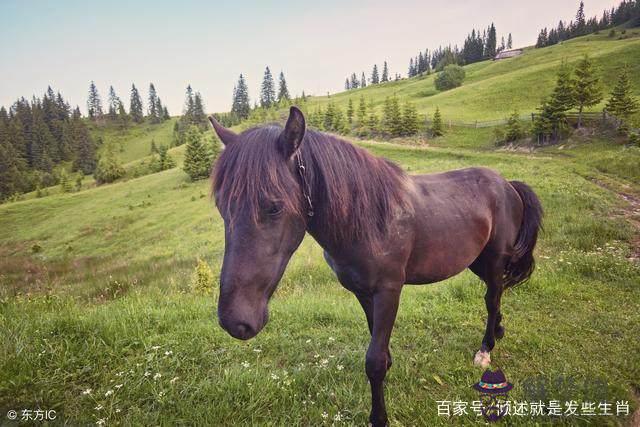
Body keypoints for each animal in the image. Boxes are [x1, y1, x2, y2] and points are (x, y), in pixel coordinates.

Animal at [208, 108, 544, 427]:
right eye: (221, 207)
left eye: (274, 206)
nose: (234, 321)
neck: (369, 220)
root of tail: (507, 185)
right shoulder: (362, 292)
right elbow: (376, 343)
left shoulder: (388, 291)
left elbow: (374, 362)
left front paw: (379, 417)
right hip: (477, 262)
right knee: (496, 294)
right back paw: (498, 330)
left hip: (495, 259)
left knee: (491, 299)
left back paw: (486, 348)